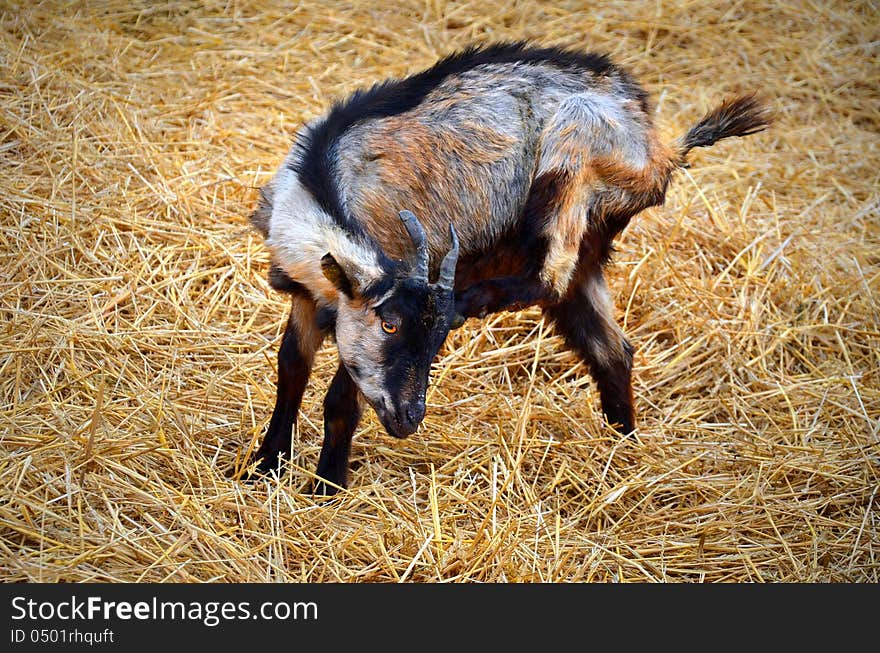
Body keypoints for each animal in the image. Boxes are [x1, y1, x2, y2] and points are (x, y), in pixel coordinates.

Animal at [244, 42, 768, 494]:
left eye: (436, 340)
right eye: (390, 324)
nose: (410, 418)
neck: (322, 187)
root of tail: (661, 149)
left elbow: (339, 400)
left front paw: (326, 487)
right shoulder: (310, 295)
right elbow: (290, 369)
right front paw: (264, 466)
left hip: (572, 159)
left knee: (552, 275)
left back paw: (474, 299)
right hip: (590, 253)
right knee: (612, 350)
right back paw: (623, 451)